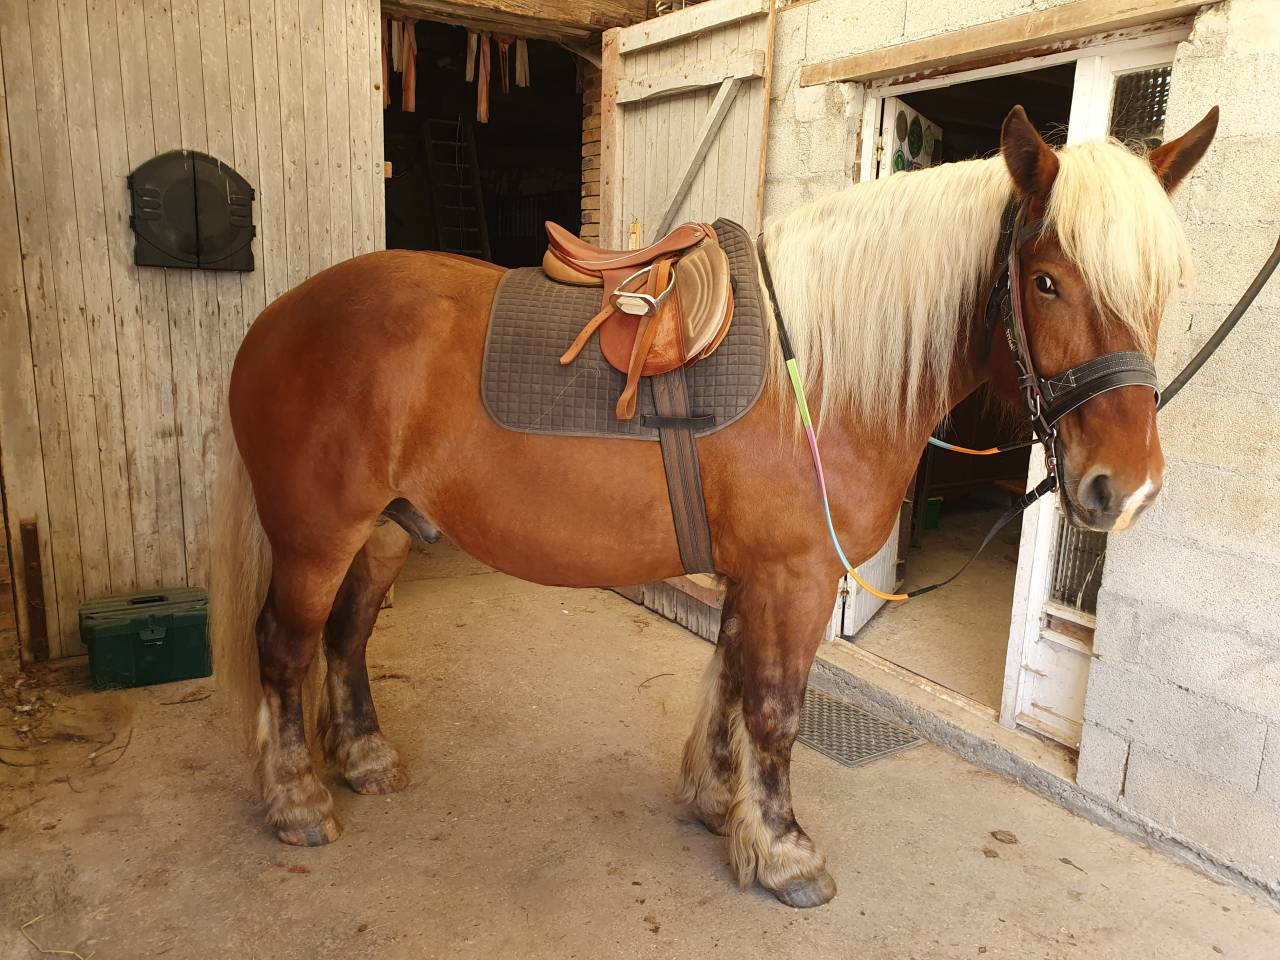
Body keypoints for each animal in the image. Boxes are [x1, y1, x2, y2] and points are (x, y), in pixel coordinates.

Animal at [211, 106, 1218, 908]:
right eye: (1046, 280)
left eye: (1160, 289)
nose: (1123, 488)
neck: (817, 372)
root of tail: (274, 320)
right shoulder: (795, 577)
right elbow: (776, 707)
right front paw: (783, 850)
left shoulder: (754, 576)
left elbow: (732, 679)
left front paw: (715, 804)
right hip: (316, 537)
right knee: (285, 647)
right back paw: (298, 799)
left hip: (383, 531)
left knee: (346, 638)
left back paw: (364, 759)